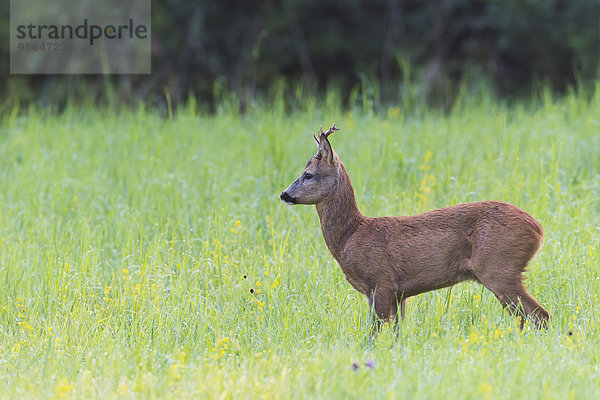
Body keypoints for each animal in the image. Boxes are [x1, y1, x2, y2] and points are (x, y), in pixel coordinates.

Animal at [278, 123, 552, 330]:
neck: (350, 236)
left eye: (308, 174)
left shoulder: (380, 281)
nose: (284, 194)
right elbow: (397, 333)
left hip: (499, 267)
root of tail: (537, 229)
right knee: (527, 316)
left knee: (539, 314)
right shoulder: (399, 294)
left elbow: (374, 333)